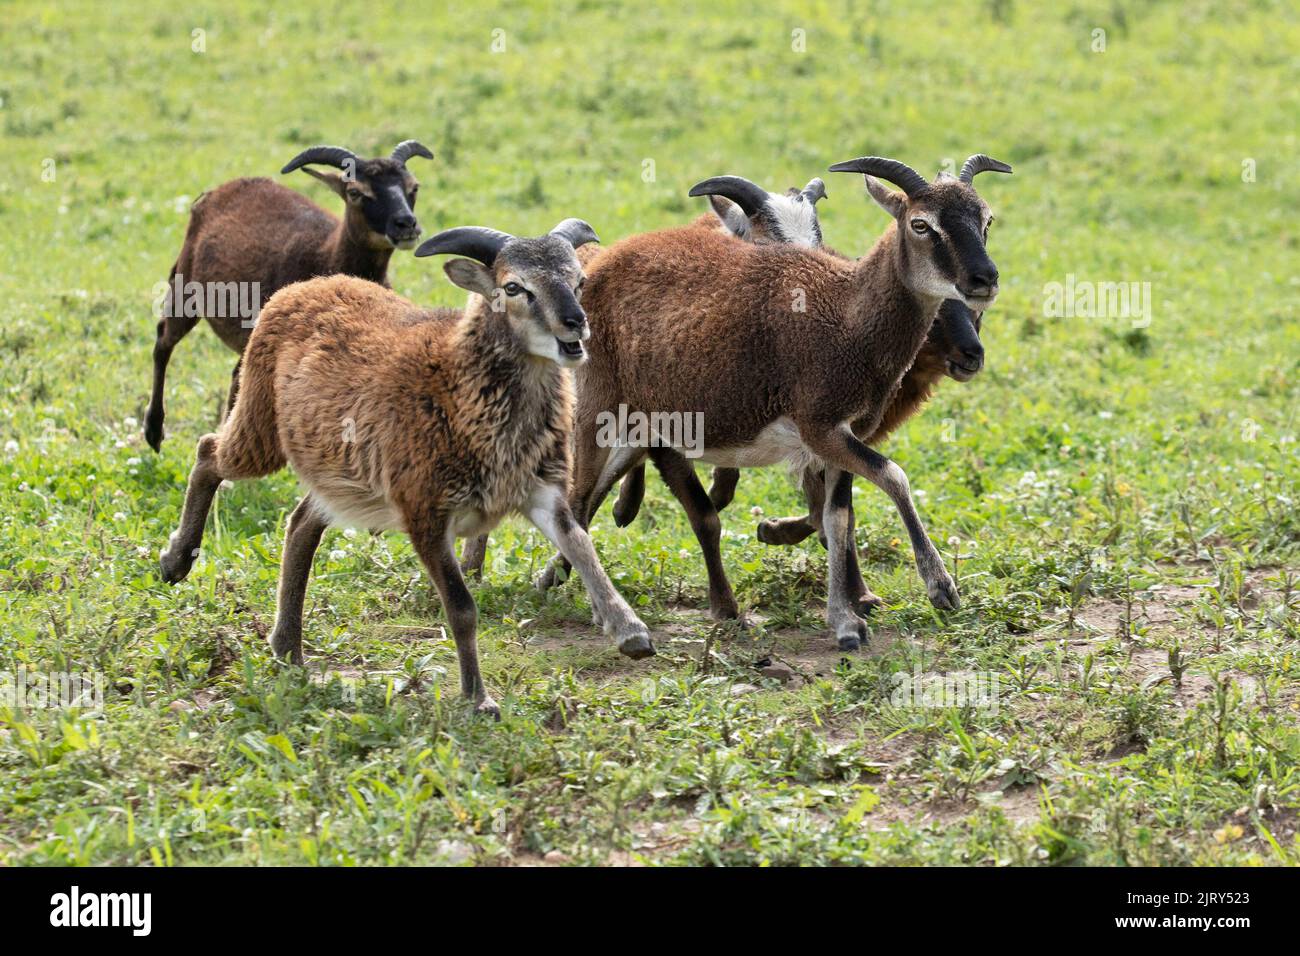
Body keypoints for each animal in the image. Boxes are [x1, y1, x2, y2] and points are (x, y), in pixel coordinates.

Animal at [144, 140, 434, 455]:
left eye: (414, 187)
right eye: (355, 192)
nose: (406, 224)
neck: (325, 255)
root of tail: (217, 191)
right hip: (186, 287)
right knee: (164, 341)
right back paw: (154, 431)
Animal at [157, 218, 655, 717]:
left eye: (579, 281)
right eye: (514, 287)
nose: (575, 325)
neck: (457, 388)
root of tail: (306, 286)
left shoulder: (541, 490)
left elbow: (582, 545)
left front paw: (630, 631)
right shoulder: (424, 510)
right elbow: (461, 607)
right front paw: (479, 699)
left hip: (341, 472)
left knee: (301, 523)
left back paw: (287, 649)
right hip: (260, 428)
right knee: (208, 453)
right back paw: (176, 561)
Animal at [535, 153, 1003, 655]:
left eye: (986, 219)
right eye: (921, 223)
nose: (984, 279)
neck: (847, 316)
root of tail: (601, 265)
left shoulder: (843, 436)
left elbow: (837, 519)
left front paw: (848, 621)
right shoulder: (819, 427)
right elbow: (893, 477)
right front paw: (940, 588)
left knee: (592, 498)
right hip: (599, 412)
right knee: (577, 500)